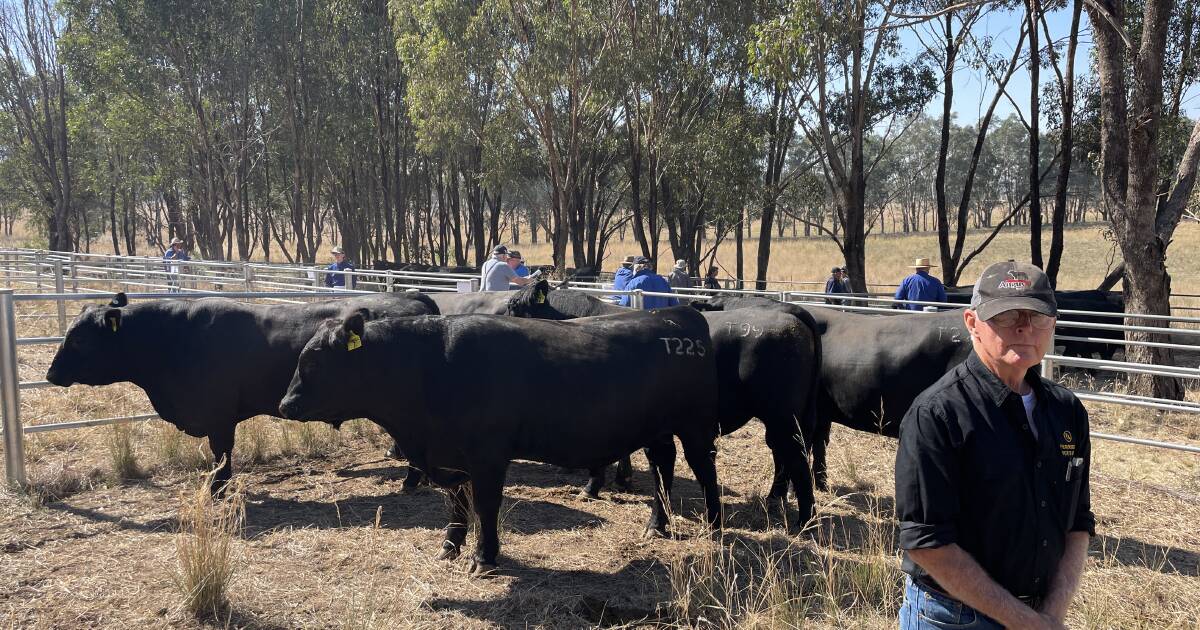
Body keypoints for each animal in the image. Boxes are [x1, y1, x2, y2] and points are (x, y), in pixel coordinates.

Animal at [48, 292, 441, 489]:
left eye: (79, 339)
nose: (51, 374)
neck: (173, 339)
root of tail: (411, 297)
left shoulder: (218, 415)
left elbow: (221, 454)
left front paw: (217, 489)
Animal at [276, 307, 715, 571]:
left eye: (315, 360)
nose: (285, 404)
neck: (430, 364)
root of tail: (675, 313)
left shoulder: (487, 454)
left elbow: (485, 505)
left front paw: (484, 557)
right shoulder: (450, 456)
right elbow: (457, 505)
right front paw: (450, 546)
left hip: (694, 425)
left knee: (703, 469)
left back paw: (713, 524)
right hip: (657, 430)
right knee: (662, 467)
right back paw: (656, 525)